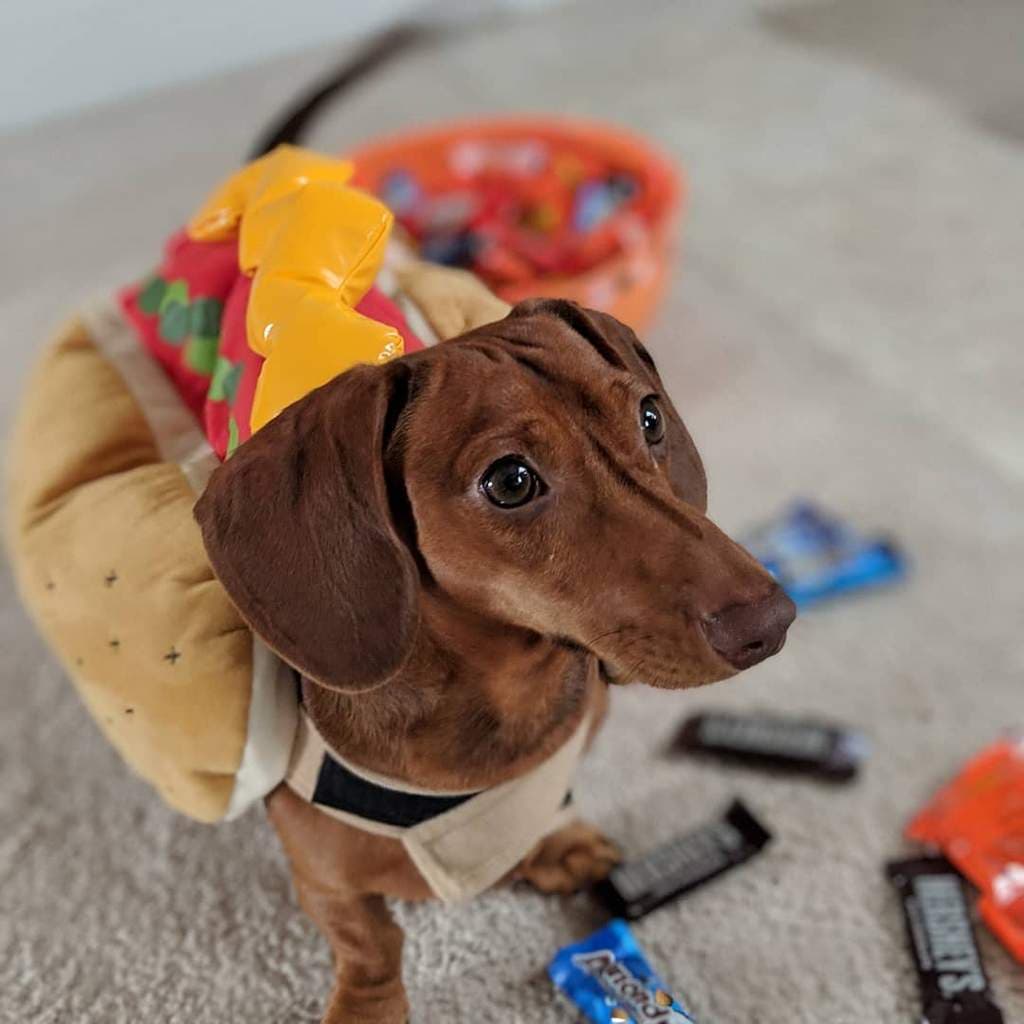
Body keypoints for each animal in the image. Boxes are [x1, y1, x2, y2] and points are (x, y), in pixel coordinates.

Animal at [193, 296, 798, 1024]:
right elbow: (370, 939)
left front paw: (559, 843)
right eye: (510, 481)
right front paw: (367, 1006)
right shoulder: (319, 873)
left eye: (650, 416)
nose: (772, 622)